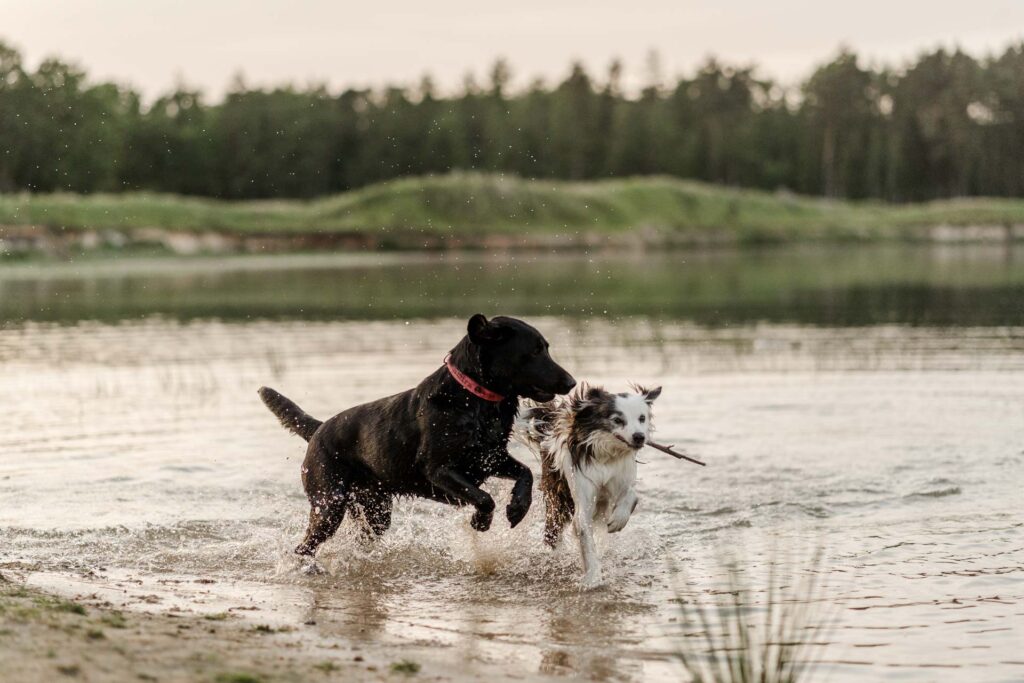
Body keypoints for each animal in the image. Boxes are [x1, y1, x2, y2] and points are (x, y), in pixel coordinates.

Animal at [256, 315, 577, 561]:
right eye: (534, 351)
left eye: (545, 348)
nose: (571, 382)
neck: (473, 401)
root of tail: (319, 429)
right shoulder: (439, 469)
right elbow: (484, 499)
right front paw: (481, 521)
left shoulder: (490, 458)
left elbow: (525, 474)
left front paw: (518, 508)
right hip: (328, 504)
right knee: (305, 545)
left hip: (376, 511)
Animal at [516, 385, 659, 589]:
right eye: (617, 419)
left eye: (642, 418)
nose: (639, 437)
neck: (607, 455)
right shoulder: (582, 491)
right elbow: (584, 533)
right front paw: (593, 578)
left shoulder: (621, 476)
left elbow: (632, 495)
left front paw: (618, 519)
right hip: (560, 500)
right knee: (553, 532)